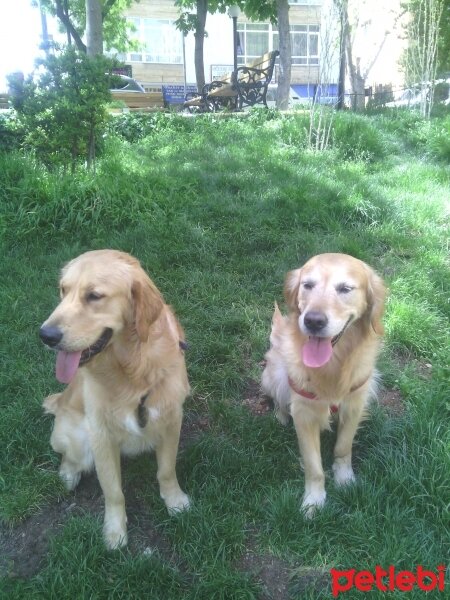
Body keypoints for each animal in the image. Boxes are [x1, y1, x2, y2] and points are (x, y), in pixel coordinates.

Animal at [39, 248, 192, 548]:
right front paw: (114, 531)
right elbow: (113, 491)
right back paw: (68, 475)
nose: (46, 335)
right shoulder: (101, 435)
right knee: (69, 457)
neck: (133, 369)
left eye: (94, 295)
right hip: (78, 440)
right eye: (63, 290)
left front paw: (175, 501)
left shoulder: (171, 419)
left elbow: (166, 470)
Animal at [262, 253, 384, 516]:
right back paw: (280, 416)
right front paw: (314, 501)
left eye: (345, 289)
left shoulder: (354, 404)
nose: (313, 321)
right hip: (275, 374)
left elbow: (343, 448)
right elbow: (313, 466)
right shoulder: (304, 413)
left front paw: (345, 480)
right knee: (278, 400)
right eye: (307, 285)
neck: (333, 366)